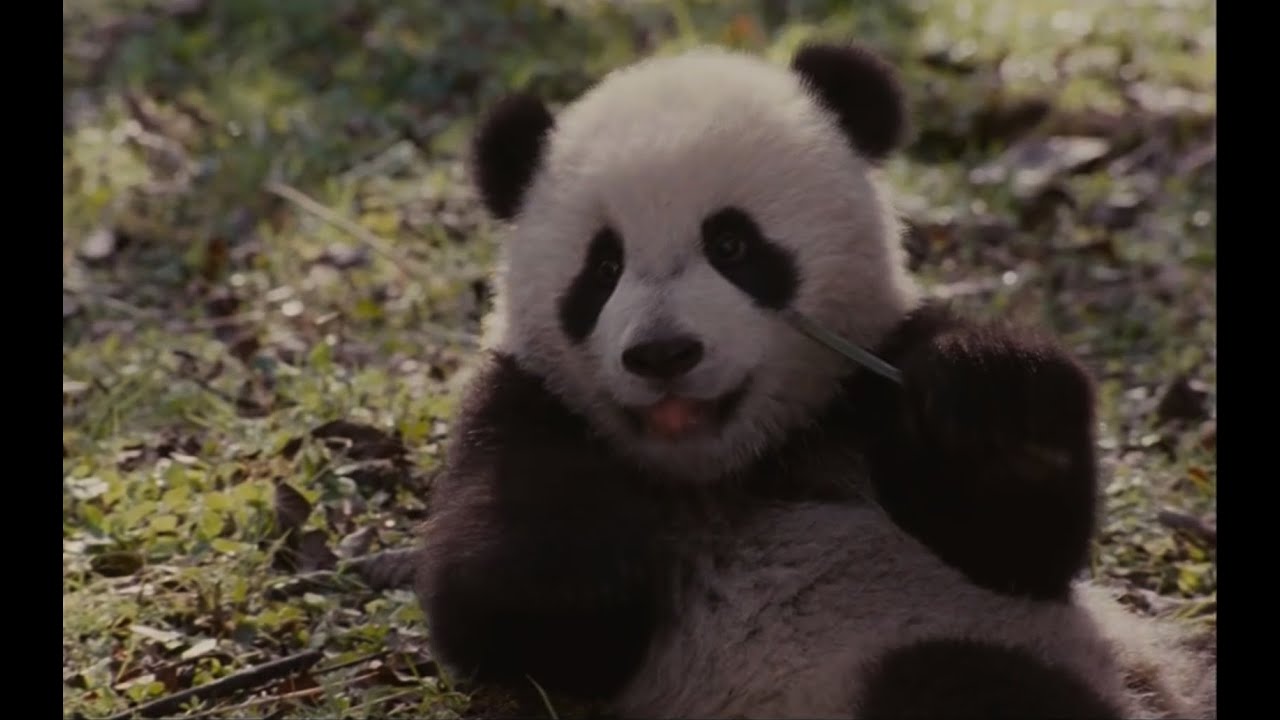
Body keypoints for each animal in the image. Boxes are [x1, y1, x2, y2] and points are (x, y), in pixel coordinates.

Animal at [412, 42, 1216, 719]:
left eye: (732, 245)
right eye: (603, 268)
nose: (663, 354)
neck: (731, 467)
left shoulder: (867, 383)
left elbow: (1018, 548)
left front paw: (995, 401)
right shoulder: (518, 404)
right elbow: (511, 611)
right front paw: (601, 562)